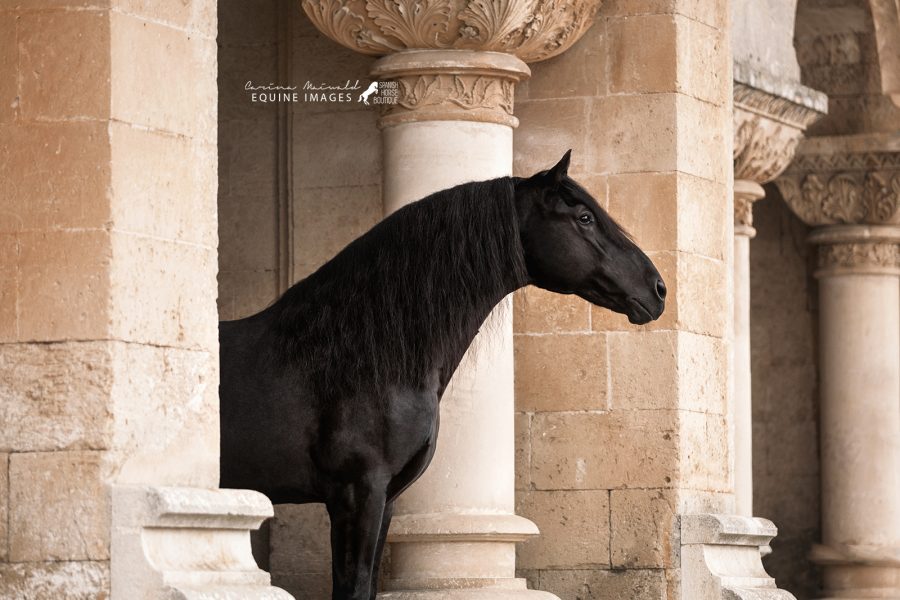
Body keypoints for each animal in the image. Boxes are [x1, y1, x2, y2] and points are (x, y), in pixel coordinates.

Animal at [219, 150, 666, 600]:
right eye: (585, 217)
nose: (658, 289)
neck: (358, 358)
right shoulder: (357, 493)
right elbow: (353, 586)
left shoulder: (385, 499)